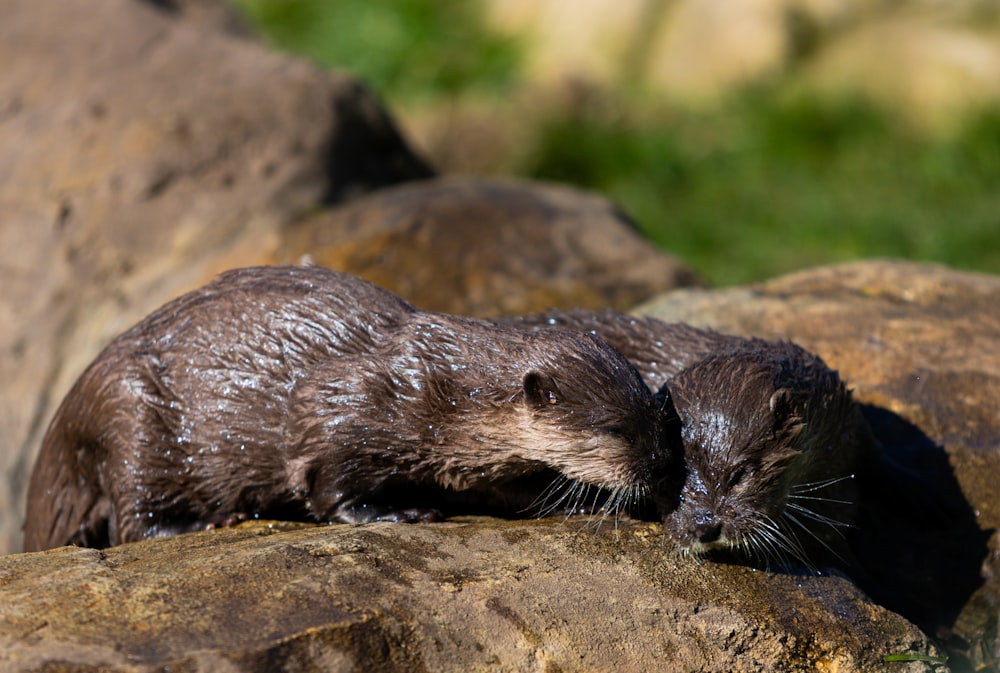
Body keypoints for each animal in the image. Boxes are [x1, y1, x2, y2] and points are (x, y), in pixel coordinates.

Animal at [23, 268, 680, 552]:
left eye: (657, 414)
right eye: (614, 429)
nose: (660, 468)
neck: (445, 393)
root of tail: (70, 408)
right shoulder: (342, 404)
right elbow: (331, 482)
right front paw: (397, 512)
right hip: (131, 414)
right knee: (132, 516)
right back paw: (208, 522)